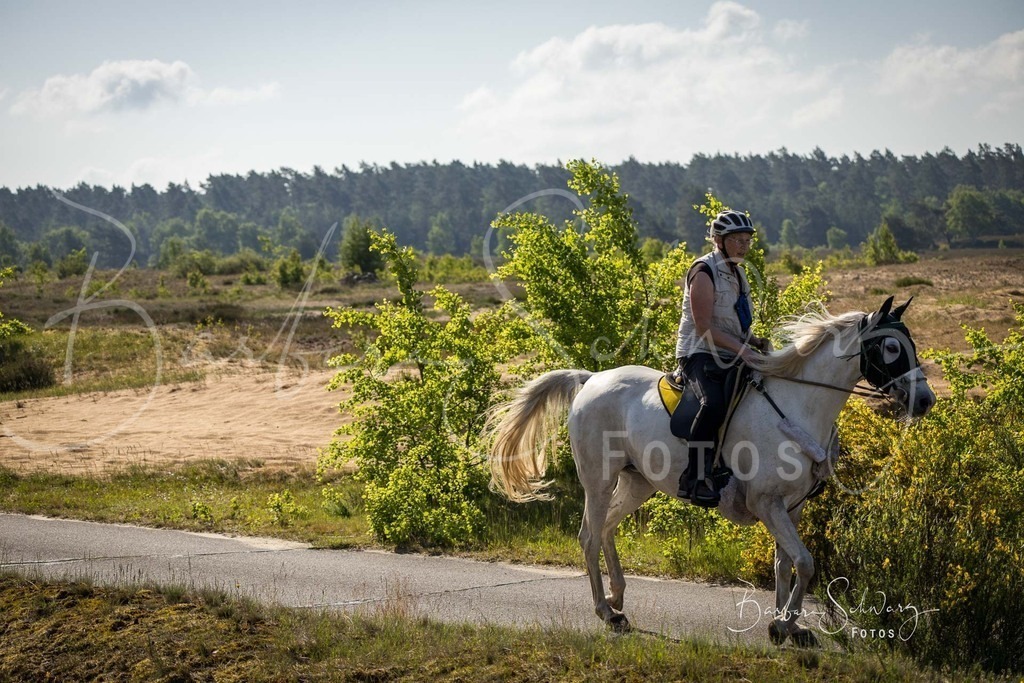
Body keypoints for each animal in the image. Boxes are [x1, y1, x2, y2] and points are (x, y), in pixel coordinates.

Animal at [485, 296, 935, 646]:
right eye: (891, 347)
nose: (925, 400)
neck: (799, 406)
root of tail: (592, 378)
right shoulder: (767, 503)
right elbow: (805, 562)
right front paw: (783, 625)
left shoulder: (792, 507)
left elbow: (785, 564)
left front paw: (785, 626)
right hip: (598, 479)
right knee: (589, 535)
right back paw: (606, 612)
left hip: (637, 482)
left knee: (607, 526)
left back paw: (618, 598)